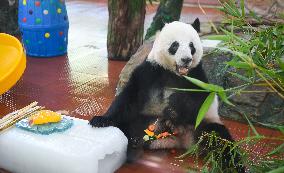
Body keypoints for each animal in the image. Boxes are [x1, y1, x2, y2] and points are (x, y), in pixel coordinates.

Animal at [90, 19, 244, 172]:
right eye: (175, 45)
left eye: (191, 45)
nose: (186, 59)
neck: (175, 73)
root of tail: (181, 141)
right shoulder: (150, 71)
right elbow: (129, 97)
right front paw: (100, 120)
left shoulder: (197, 77)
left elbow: (200, 101)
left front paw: (175, 104)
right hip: (147, 120)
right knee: (126, 126)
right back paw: (135, 144)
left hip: (202, 125)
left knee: (219, 139)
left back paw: (234, 166)